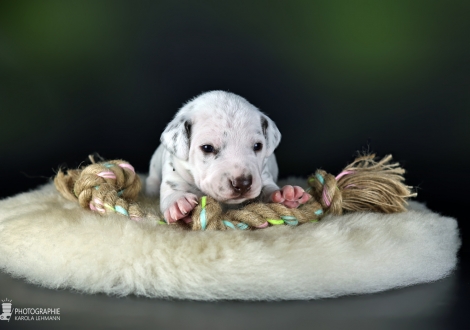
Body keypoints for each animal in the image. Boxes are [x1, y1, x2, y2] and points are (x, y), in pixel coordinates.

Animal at [145, 91, 310, 223]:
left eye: (257, 146)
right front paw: (178, 203)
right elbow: (172, 190)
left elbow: (268, 188)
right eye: (207, 148)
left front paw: (285, 195)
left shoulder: (263, 175)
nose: (243, 183)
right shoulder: (174, 172)